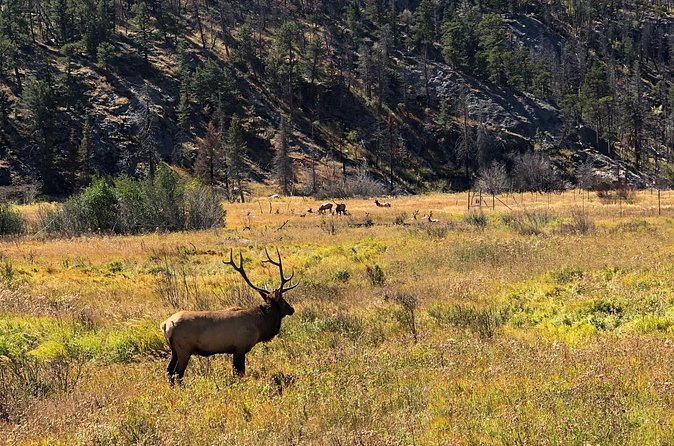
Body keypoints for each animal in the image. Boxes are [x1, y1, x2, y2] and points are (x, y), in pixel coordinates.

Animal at [160, 248, 298, 386]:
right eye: (283, 301)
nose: (292, 309)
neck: (260, 325)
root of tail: (165, 325)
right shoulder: (240, 346)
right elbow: (239, 371)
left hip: (174, 351)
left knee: (169, 370)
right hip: (184, 349)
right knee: (178, 373)